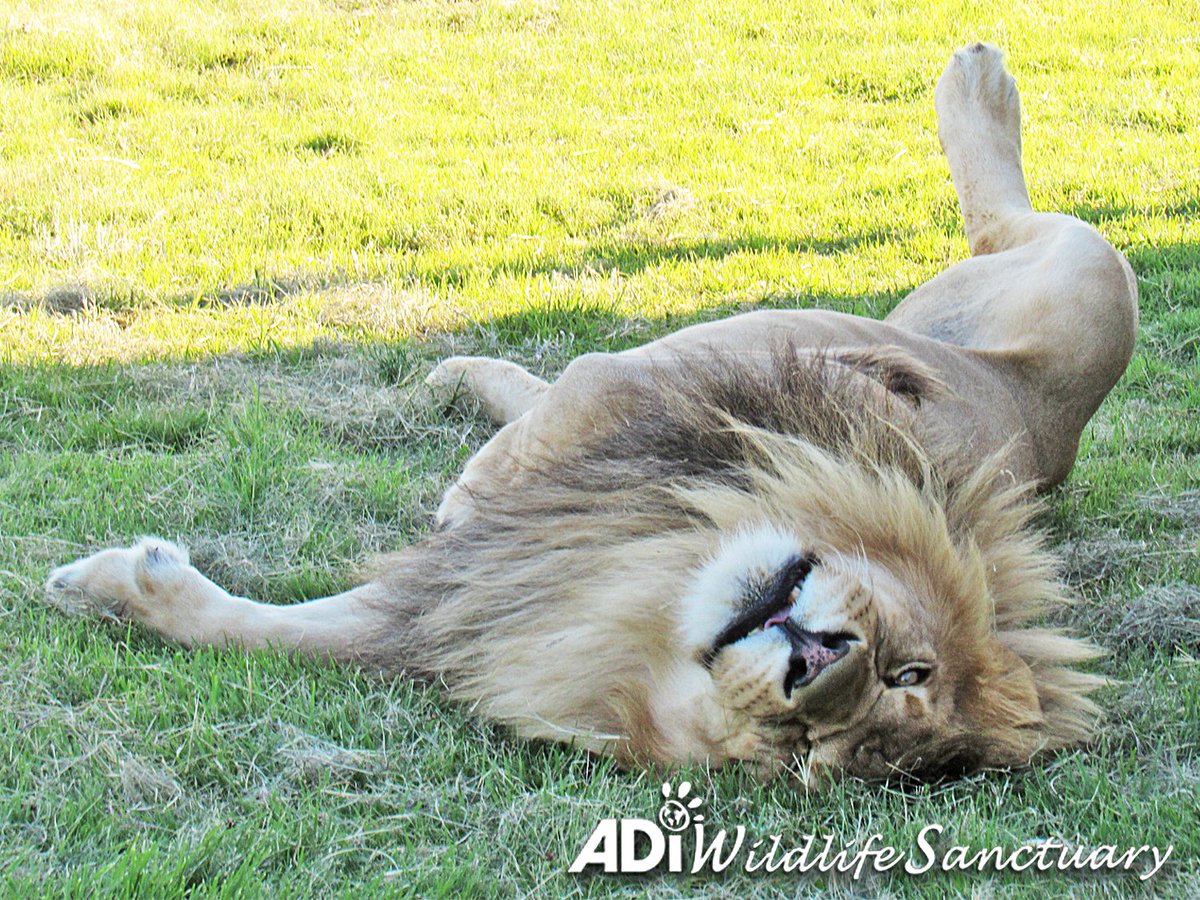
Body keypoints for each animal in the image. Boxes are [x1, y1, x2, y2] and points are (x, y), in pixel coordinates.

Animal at [44, 45, 1132, 787]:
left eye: (810, 744)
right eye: (909, 668)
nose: (816, 667)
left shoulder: (479, 603)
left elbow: (273, 632)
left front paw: (115, 590)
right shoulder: (633, 399)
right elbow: (548, 424)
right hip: (1081, 282)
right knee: (1005, 214)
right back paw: (979, 81)